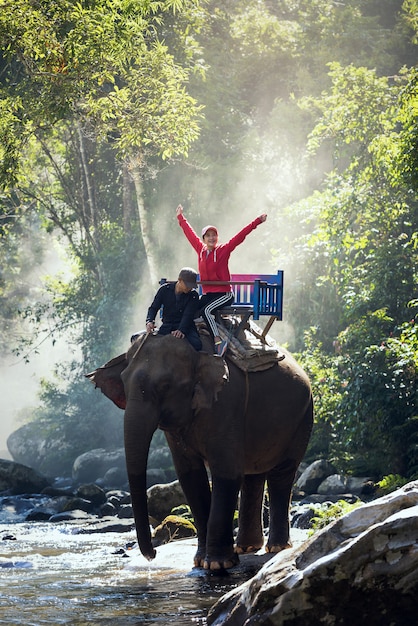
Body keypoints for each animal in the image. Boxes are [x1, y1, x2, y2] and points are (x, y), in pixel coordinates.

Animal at [86, 332, 312, 572]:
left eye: (165, 386)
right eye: (124, 383)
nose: (153, 554)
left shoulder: (226, 404)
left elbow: (226, 472)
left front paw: (216, 564)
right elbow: (190, 477)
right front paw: (200, 561)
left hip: (304, 416)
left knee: (282, 473)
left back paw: (276, 548)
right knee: (254, 475)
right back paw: (248, 548)